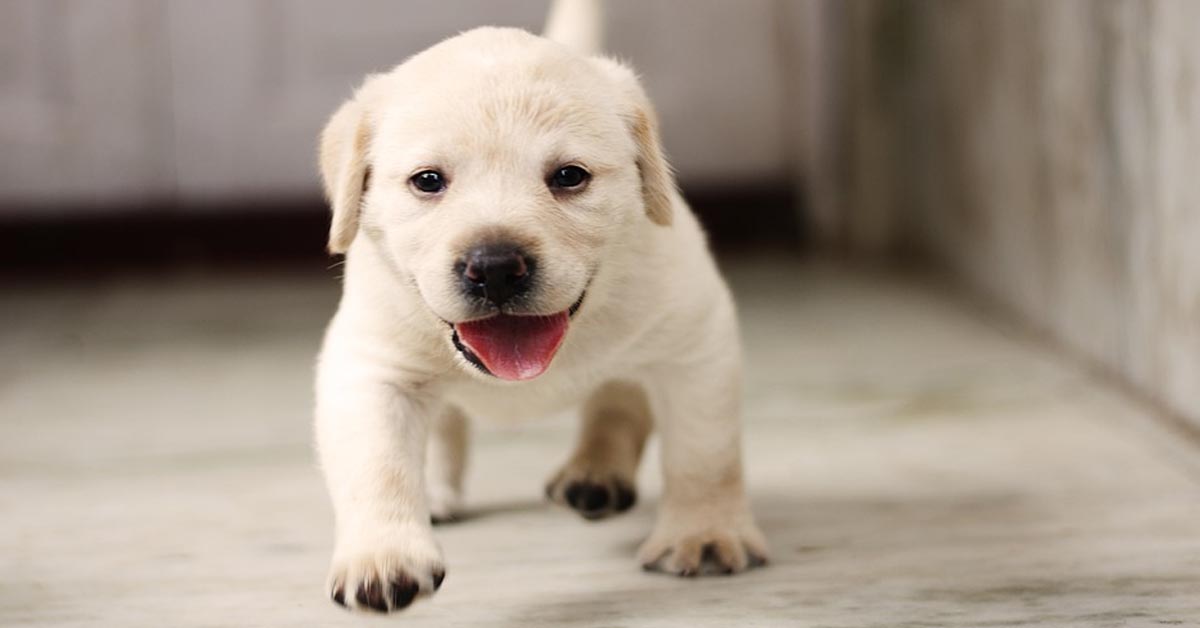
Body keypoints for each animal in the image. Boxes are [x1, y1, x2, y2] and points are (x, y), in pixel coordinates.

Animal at [316, 0, 768, 612]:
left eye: (570, 176)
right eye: (427, 181)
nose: (495, 267)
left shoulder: (695, 342)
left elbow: (703, 453)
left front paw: (705, 533)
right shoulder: (370, 366)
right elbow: (377, 464)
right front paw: (384, 556)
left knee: (618, 402)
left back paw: (595, 473)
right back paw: (437, 489)